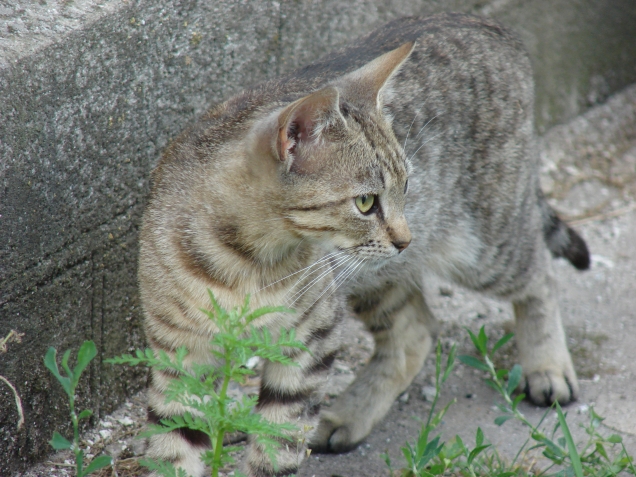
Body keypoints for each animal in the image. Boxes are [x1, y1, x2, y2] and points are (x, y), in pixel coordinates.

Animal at [140, 13, 592, 476]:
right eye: (365, 202)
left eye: (406, 187)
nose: (406, 238)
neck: (245, 262)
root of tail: (484, 20)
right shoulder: (177, 357)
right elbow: (172, 447)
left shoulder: (309, 338)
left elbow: (276, 441)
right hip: (376, 274)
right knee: (416, 332)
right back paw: (351, 414)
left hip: (482, 242)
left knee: (538, 275)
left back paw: (548, 366)